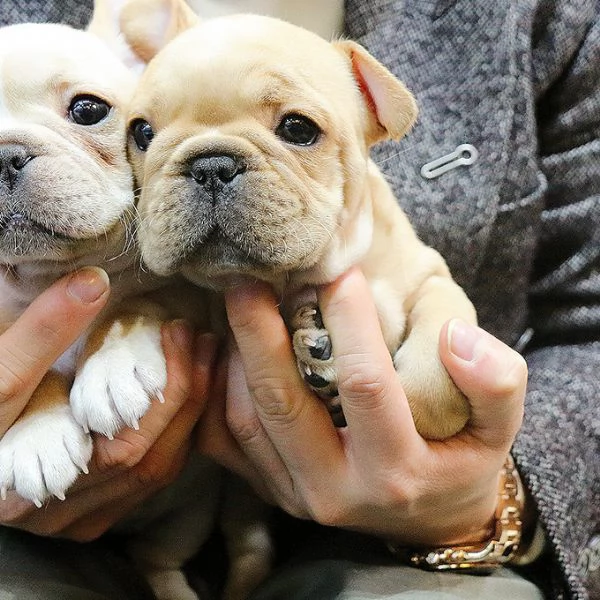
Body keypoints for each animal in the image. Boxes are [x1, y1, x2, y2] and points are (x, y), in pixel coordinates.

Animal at [120, 0, 478, 440]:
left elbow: (436, 364)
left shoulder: (429, 275)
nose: (211, 165)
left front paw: (412, 403)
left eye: (298, 128)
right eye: (142, 132)